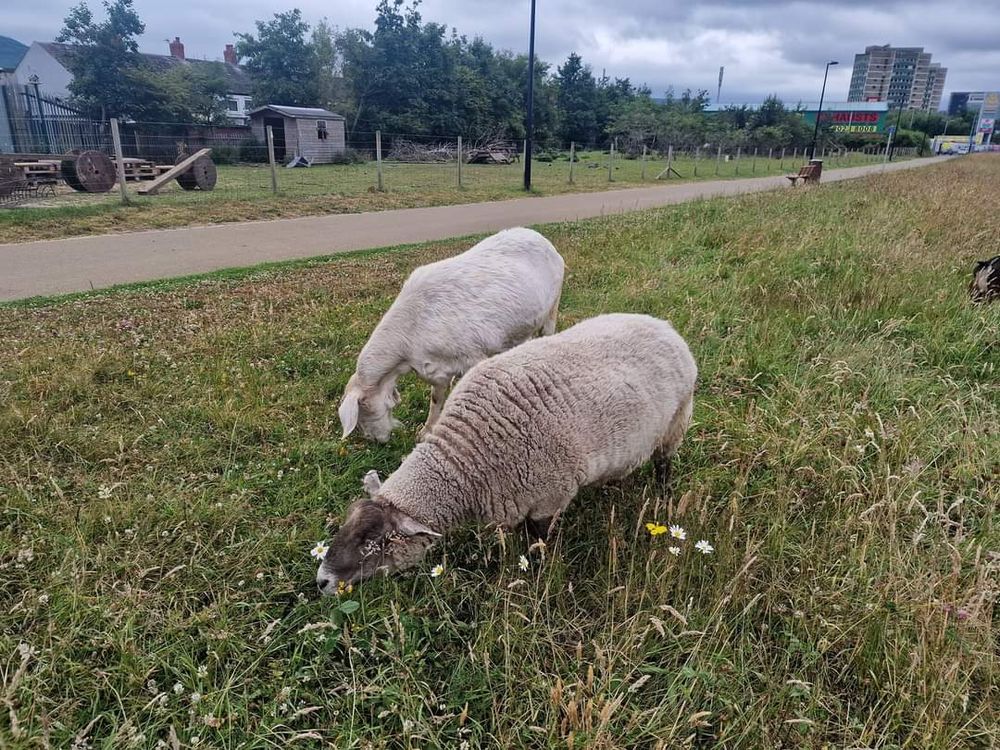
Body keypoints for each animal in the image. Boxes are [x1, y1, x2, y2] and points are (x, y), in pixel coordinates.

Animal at [318, 312, 696, 592]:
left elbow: (538, 546)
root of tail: (663, 325)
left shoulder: (548, 498)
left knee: (664, 465)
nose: (322, 581)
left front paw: (540, 577)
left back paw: (664, 497)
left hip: (677, 421)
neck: (466, 457)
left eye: (373, 541)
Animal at [340, 226, 564, 444]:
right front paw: (425, 432)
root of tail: (542, 238)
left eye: (363, 412)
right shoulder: (436, 370)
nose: (376, 441)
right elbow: (435, 399)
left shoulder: (473, 356)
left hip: (552, 306)